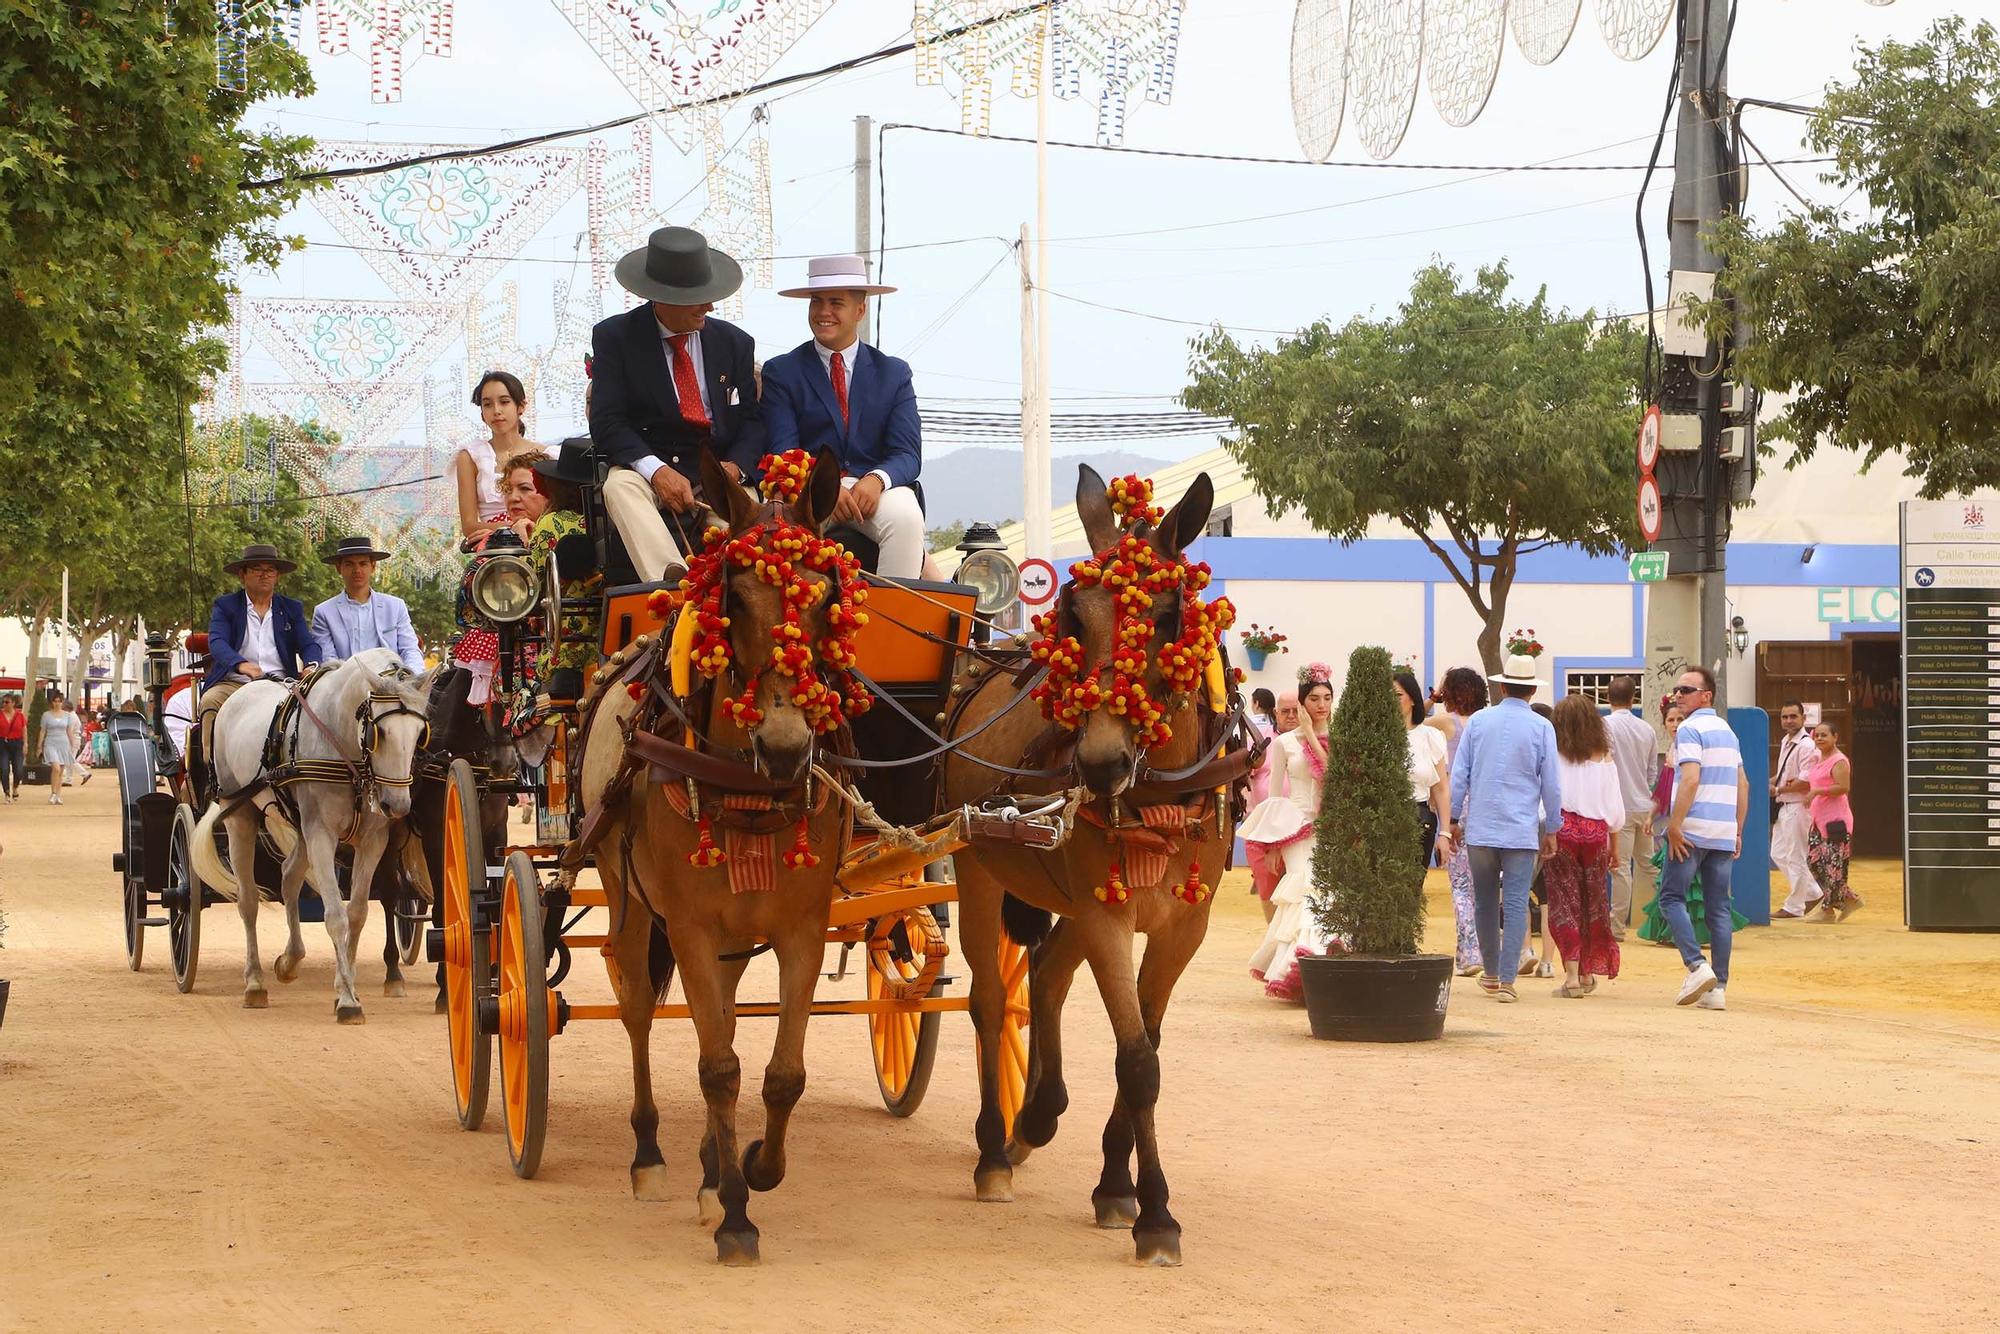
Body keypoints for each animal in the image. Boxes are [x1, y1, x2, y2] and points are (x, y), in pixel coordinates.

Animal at [191, 656, 434, 1024]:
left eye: (421, 734)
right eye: (380, 732)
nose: (397, 805)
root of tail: (241, 693)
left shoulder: (372, 840)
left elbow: (357, 914)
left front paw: (345, 987)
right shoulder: (321, 833)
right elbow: (334, 915)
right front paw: (347, 1000)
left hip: (300, 823)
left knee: (289, 876)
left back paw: (290, 961)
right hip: (240, 815)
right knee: (248, 901)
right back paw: (254, 983)